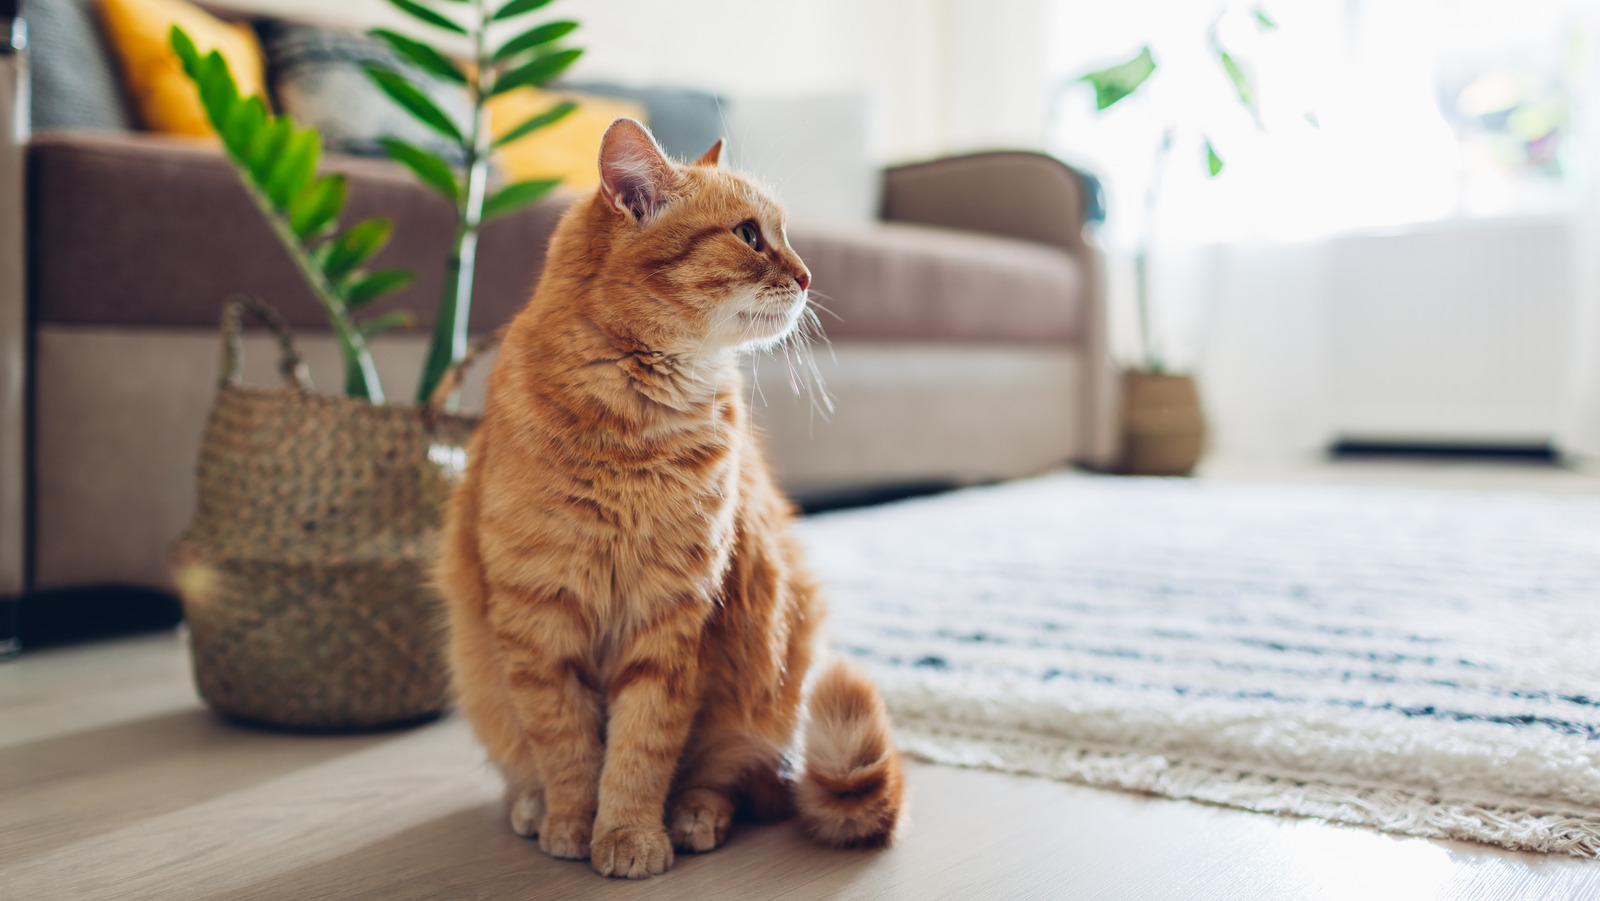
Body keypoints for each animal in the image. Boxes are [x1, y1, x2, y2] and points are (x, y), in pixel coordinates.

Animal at [435, 116, 902, 876]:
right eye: (749, 235)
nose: (808, 275)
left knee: (729, 776)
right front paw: (572, 823)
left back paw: (694, 815)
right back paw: (531, 806)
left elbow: (640, 749)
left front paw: (628, 834)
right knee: (525, 761)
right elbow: (566, 747)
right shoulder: (539, 621)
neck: (635, 428)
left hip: (772, 669)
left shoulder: (674, 617)